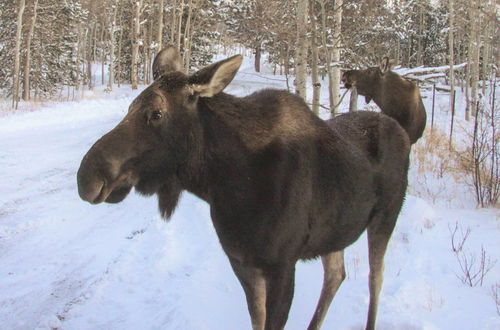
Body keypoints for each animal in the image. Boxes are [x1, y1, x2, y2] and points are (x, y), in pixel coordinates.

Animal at [76, 47, 408, 330]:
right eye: (130, 107)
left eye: (156, 113)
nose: (87, 178)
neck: (227, 186)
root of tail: (403, 130)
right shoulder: (241, 262)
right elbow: (256, 319)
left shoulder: (282, 265)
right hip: (334, 233)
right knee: (336, 274)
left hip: (386, 216)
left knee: (375, 278)